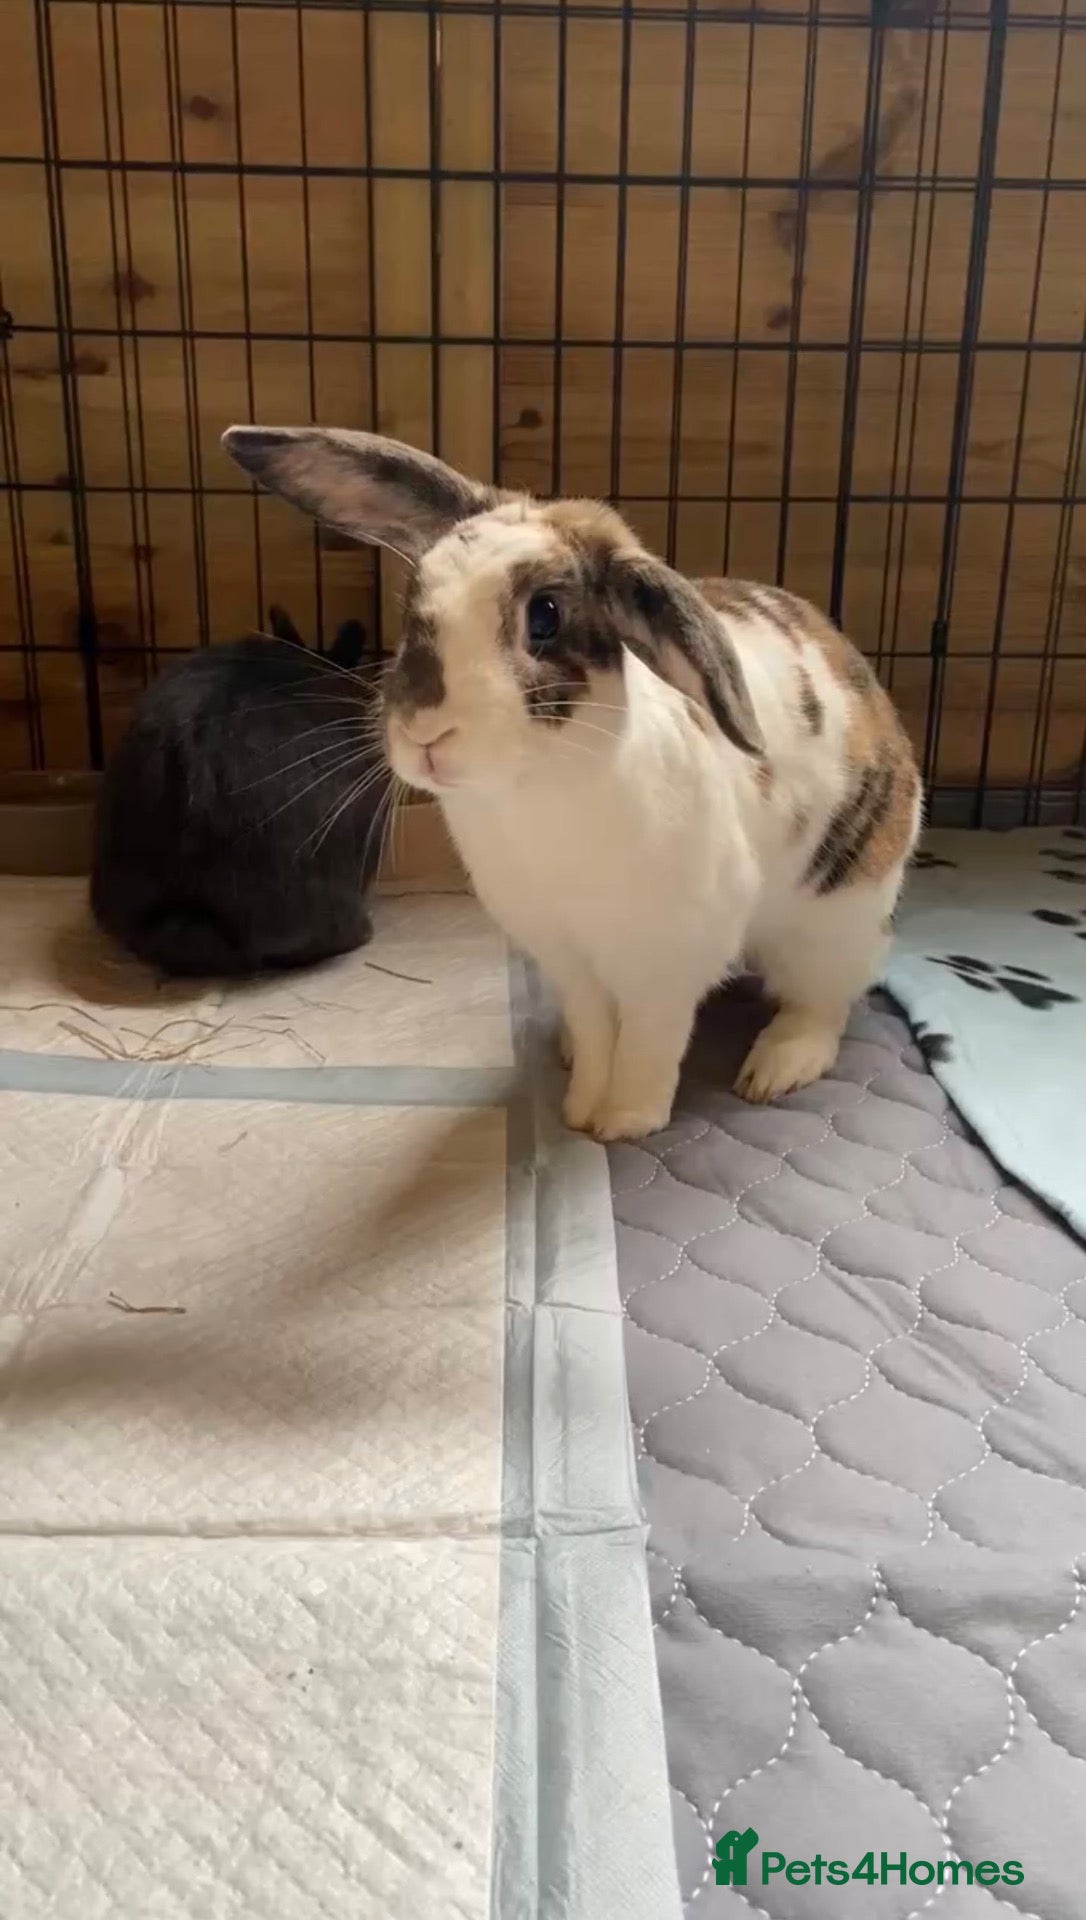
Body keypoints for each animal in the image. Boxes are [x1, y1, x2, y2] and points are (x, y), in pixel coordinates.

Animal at [223, 425, 922, 1138]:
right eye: (414, 599)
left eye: (546, 616)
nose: (424, 733)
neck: (537, 788)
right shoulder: (563, 954)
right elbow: (595, 1030)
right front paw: (580, 1106)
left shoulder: (669, 957)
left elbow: (650, 1038)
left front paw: (624, 1122)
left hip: (833, 924)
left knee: (823, 1002)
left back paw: (776, 1068)